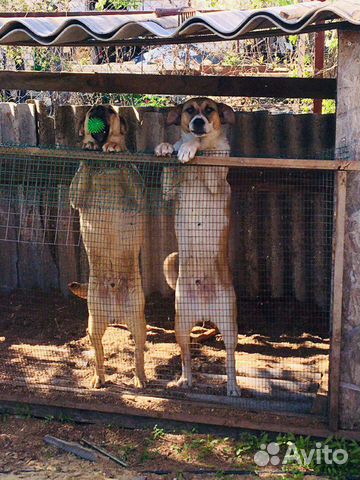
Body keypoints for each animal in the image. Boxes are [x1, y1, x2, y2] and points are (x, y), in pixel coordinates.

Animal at [70, 106, 146, 390]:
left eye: (112, 111)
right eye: (90, 111)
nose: (99, 107)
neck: (105, 169)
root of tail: (115, 311)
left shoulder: (138, 193)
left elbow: (125, 160)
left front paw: (116, 147)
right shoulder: (76, 196)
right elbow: (83, 168)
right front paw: (89, 145)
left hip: (138, 322)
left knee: (138, 354)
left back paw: (140, 378)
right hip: (94, 323)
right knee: (99, 353)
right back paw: (97, 378)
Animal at [154, 98, 239, 398]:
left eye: (209, 110)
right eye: (189, 110)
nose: (199, 122)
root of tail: (204, 311)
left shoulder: (216, 173)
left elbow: (204, 149)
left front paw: (189, 147)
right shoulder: (168, 191)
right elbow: (170, 167)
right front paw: (167, 147)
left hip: (230, 326)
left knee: (230, 358)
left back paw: (233, 387)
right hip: (180, 325)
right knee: (186, 356)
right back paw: (185, 380)